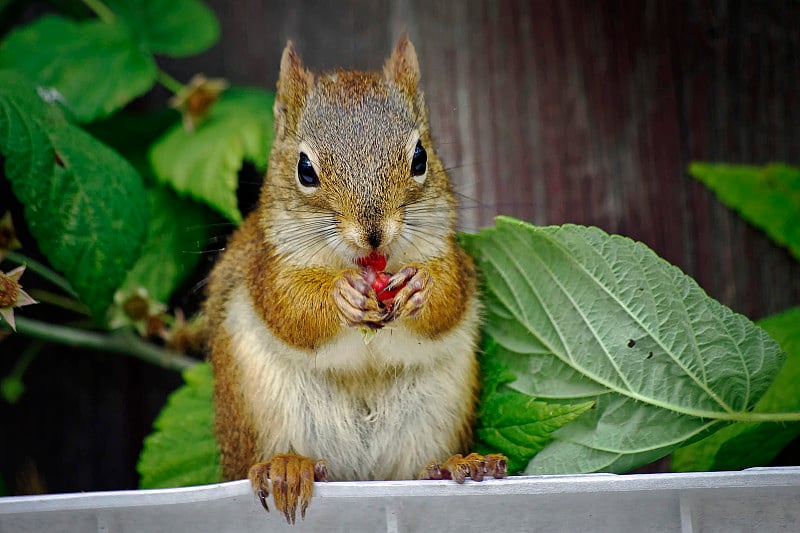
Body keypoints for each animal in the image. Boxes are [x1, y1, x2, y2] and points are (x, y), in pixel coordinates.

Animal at [205, 35, 506, 520]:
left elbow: (451, 299)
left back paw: (455, 465)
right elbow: (289, 310)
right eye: (305, 169)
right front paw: (339, 296)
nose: (374, 233)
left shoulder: (453, 258)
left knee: (416, 471)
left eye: (420, 157)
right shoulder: (264, 267)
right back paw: (287, 468)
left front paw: (420, 288)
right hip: (261, 411)